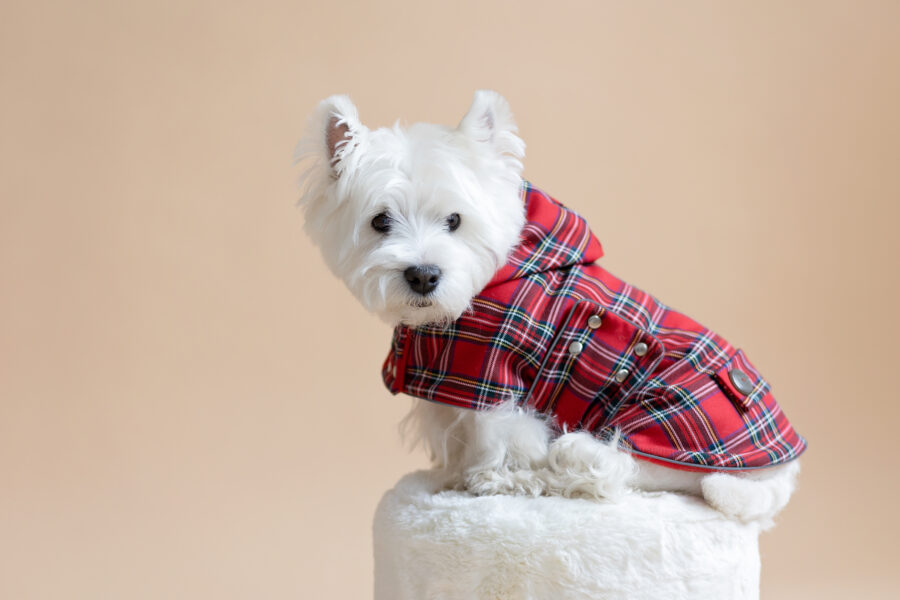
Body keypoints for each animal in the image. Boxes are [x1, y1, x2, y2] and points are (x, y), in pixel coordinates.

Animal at [294, 90, 800, 524]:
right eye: (380, 221)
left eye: (454, 220)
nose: (423, 274)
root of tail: (777, 472)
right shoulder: (450, 385)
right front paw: (452, 475)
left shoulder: (492, 377)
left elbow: (500, 439)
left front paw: (492, 479)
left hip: (650, 433)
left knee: (606, 471)